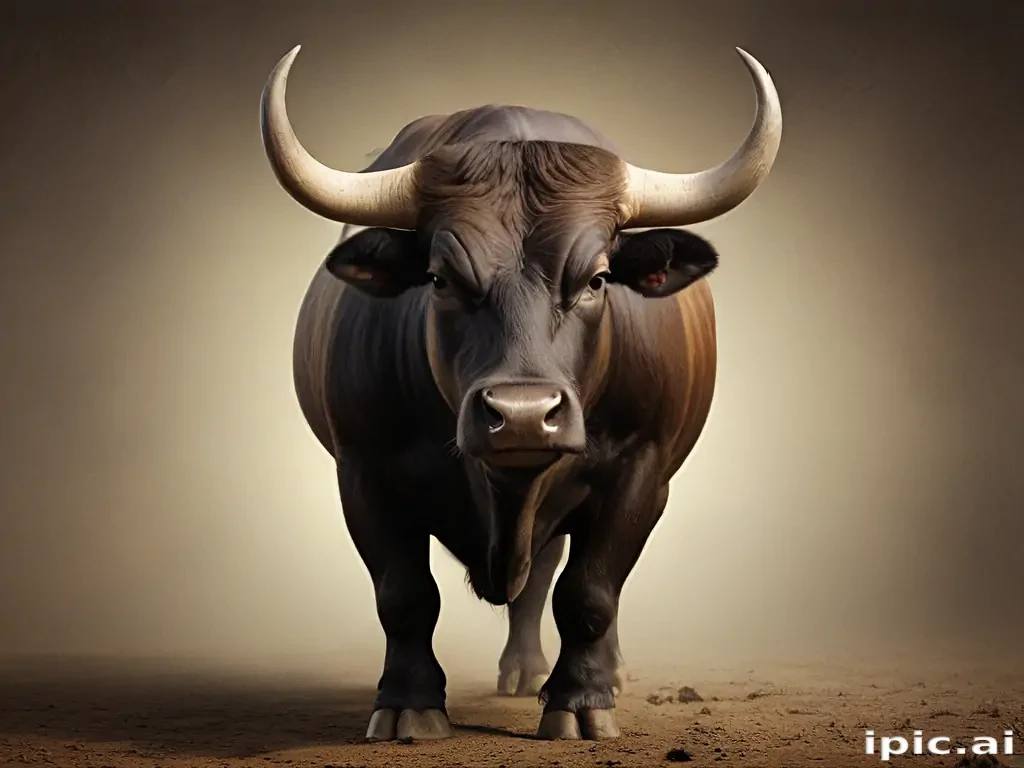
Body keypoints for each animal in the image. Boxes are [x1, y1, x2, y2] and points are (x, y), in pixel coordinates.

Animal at [259, 45, 782, 742]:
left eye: (598, 279)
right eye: (440, 278)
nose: (525, 416)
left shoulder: (640, 473)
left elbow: (589, 592)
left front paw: (581, 704)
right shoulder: (363, 472)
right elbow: (404, 595)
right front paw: (407, 703)